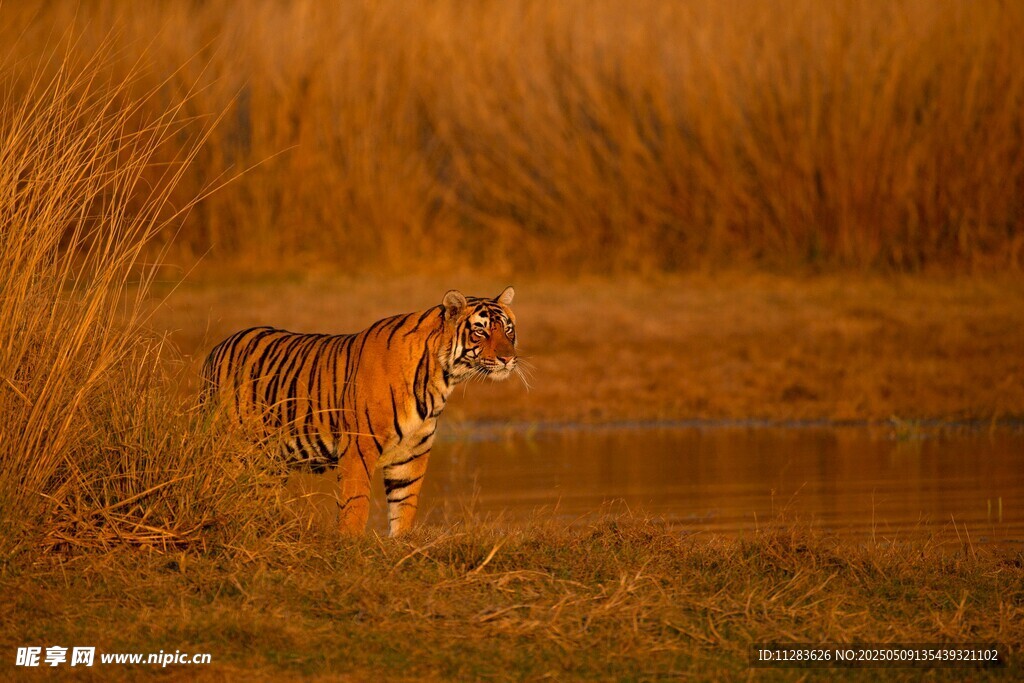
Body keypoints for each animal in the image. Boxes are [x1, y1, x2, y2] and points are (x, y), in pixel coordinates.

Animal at [201, 287, 518, 536]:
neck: (441, 377)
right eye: (480, 331)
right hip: (232, 448)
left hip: (268, 462)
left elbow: (405, 502)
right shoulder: (359, 446)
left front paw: (401, 543)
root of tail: (217, 348)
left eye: (508, 330)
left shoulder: (412, 451)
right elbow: (356, 502)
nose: (508, 359)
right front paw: (349, 544)